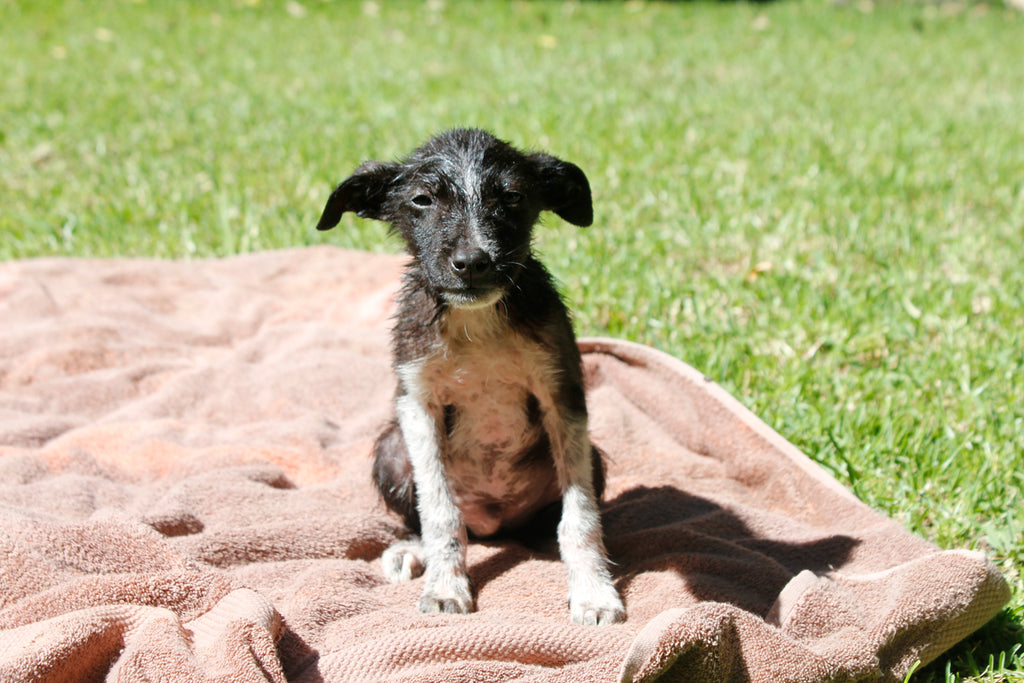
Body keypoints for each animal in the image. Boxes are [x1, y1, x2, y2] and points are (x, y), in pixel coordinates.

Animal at [315, 127, 622, 626]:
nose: (473, 261)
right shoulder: (416, 401)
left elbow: (579, 516)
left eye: (512, 196)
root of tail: (494, 524)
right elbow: (439, 511)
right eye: (422, 200)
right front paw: (446, 585)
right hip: (391, 450)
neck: (476, 319)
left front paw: (593, 591)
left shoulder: (562, 393)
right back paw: (412, 550)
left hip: (592, 457)